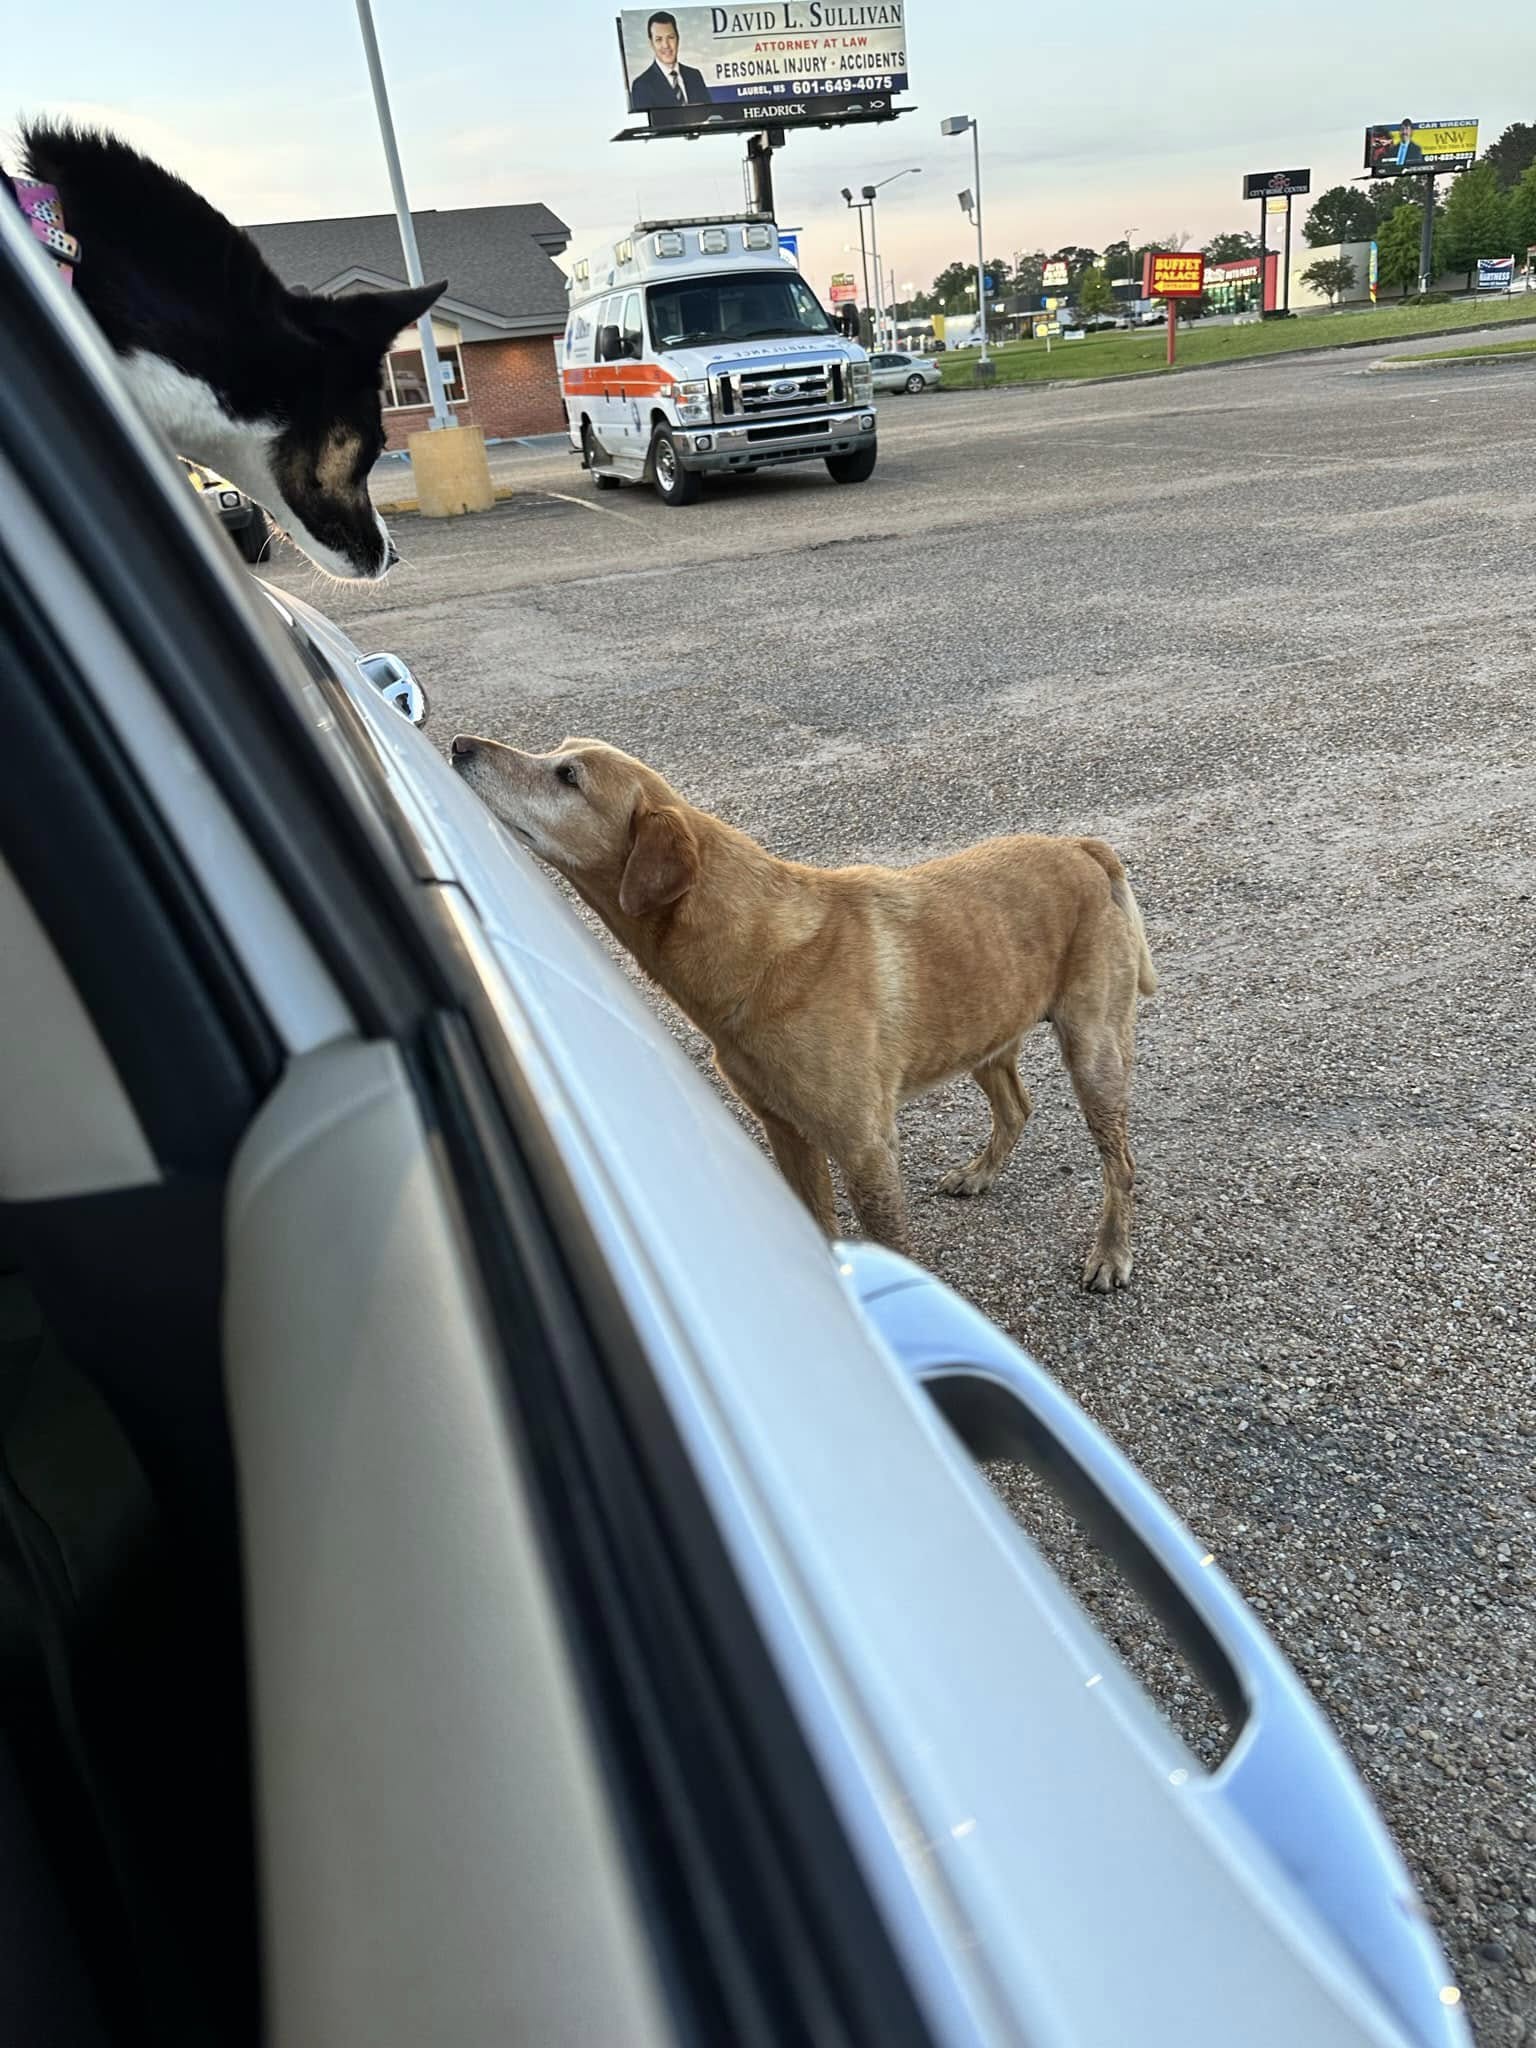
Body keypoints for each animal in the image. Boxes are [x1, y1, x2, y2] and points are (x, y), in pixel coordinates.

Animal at [450, 733, 1163, 1277]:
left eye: (567, 775)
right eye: (557, 754)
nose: (459, 745)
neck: (755, 947)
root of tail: (1083, 848)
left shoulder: (864, 1146)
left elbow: (891, 1243)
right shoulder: (784, 1130)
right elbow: (821, 1227)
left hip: (1093, 1051)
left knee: (1121, 1165)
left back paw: (1112, 1253)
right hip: (984, 1025)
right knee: (1016, 1106)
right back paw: (981, 1172)